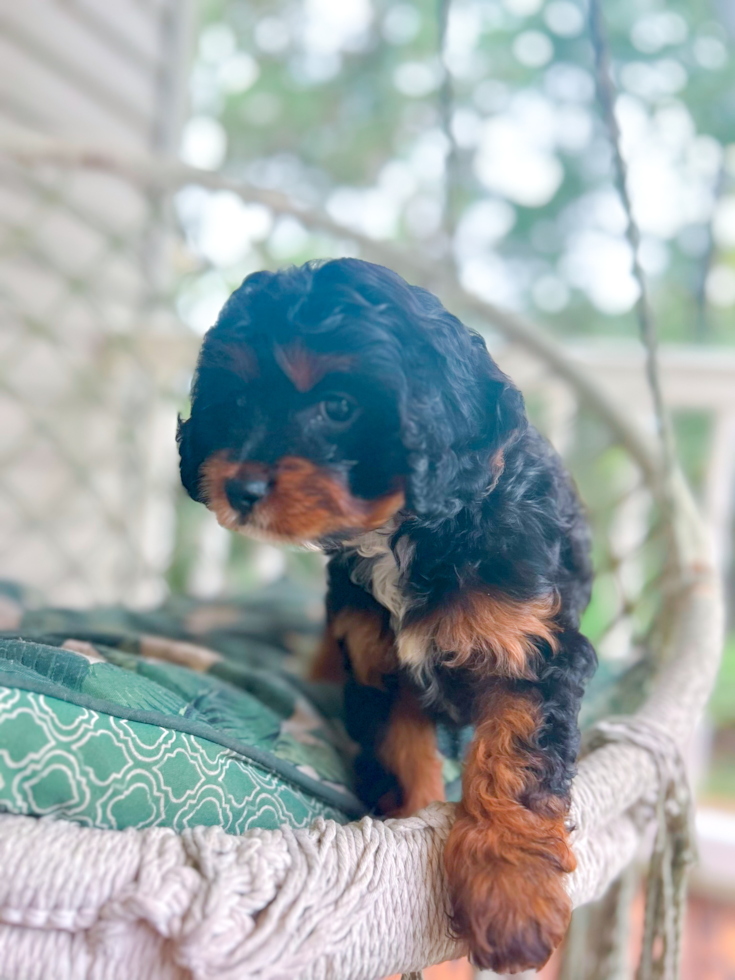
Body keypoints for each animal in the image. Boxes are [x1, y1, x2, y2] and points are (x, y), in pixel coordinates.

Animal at [178, 256, 600, 976]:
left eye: (339, 407)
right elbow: (404, 763)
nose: (238, 488)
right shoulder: (376, 660)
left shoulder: (533, 653)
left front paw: (509, 894)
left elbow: (514, 765)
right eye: (234, 403)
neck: (411, 532)